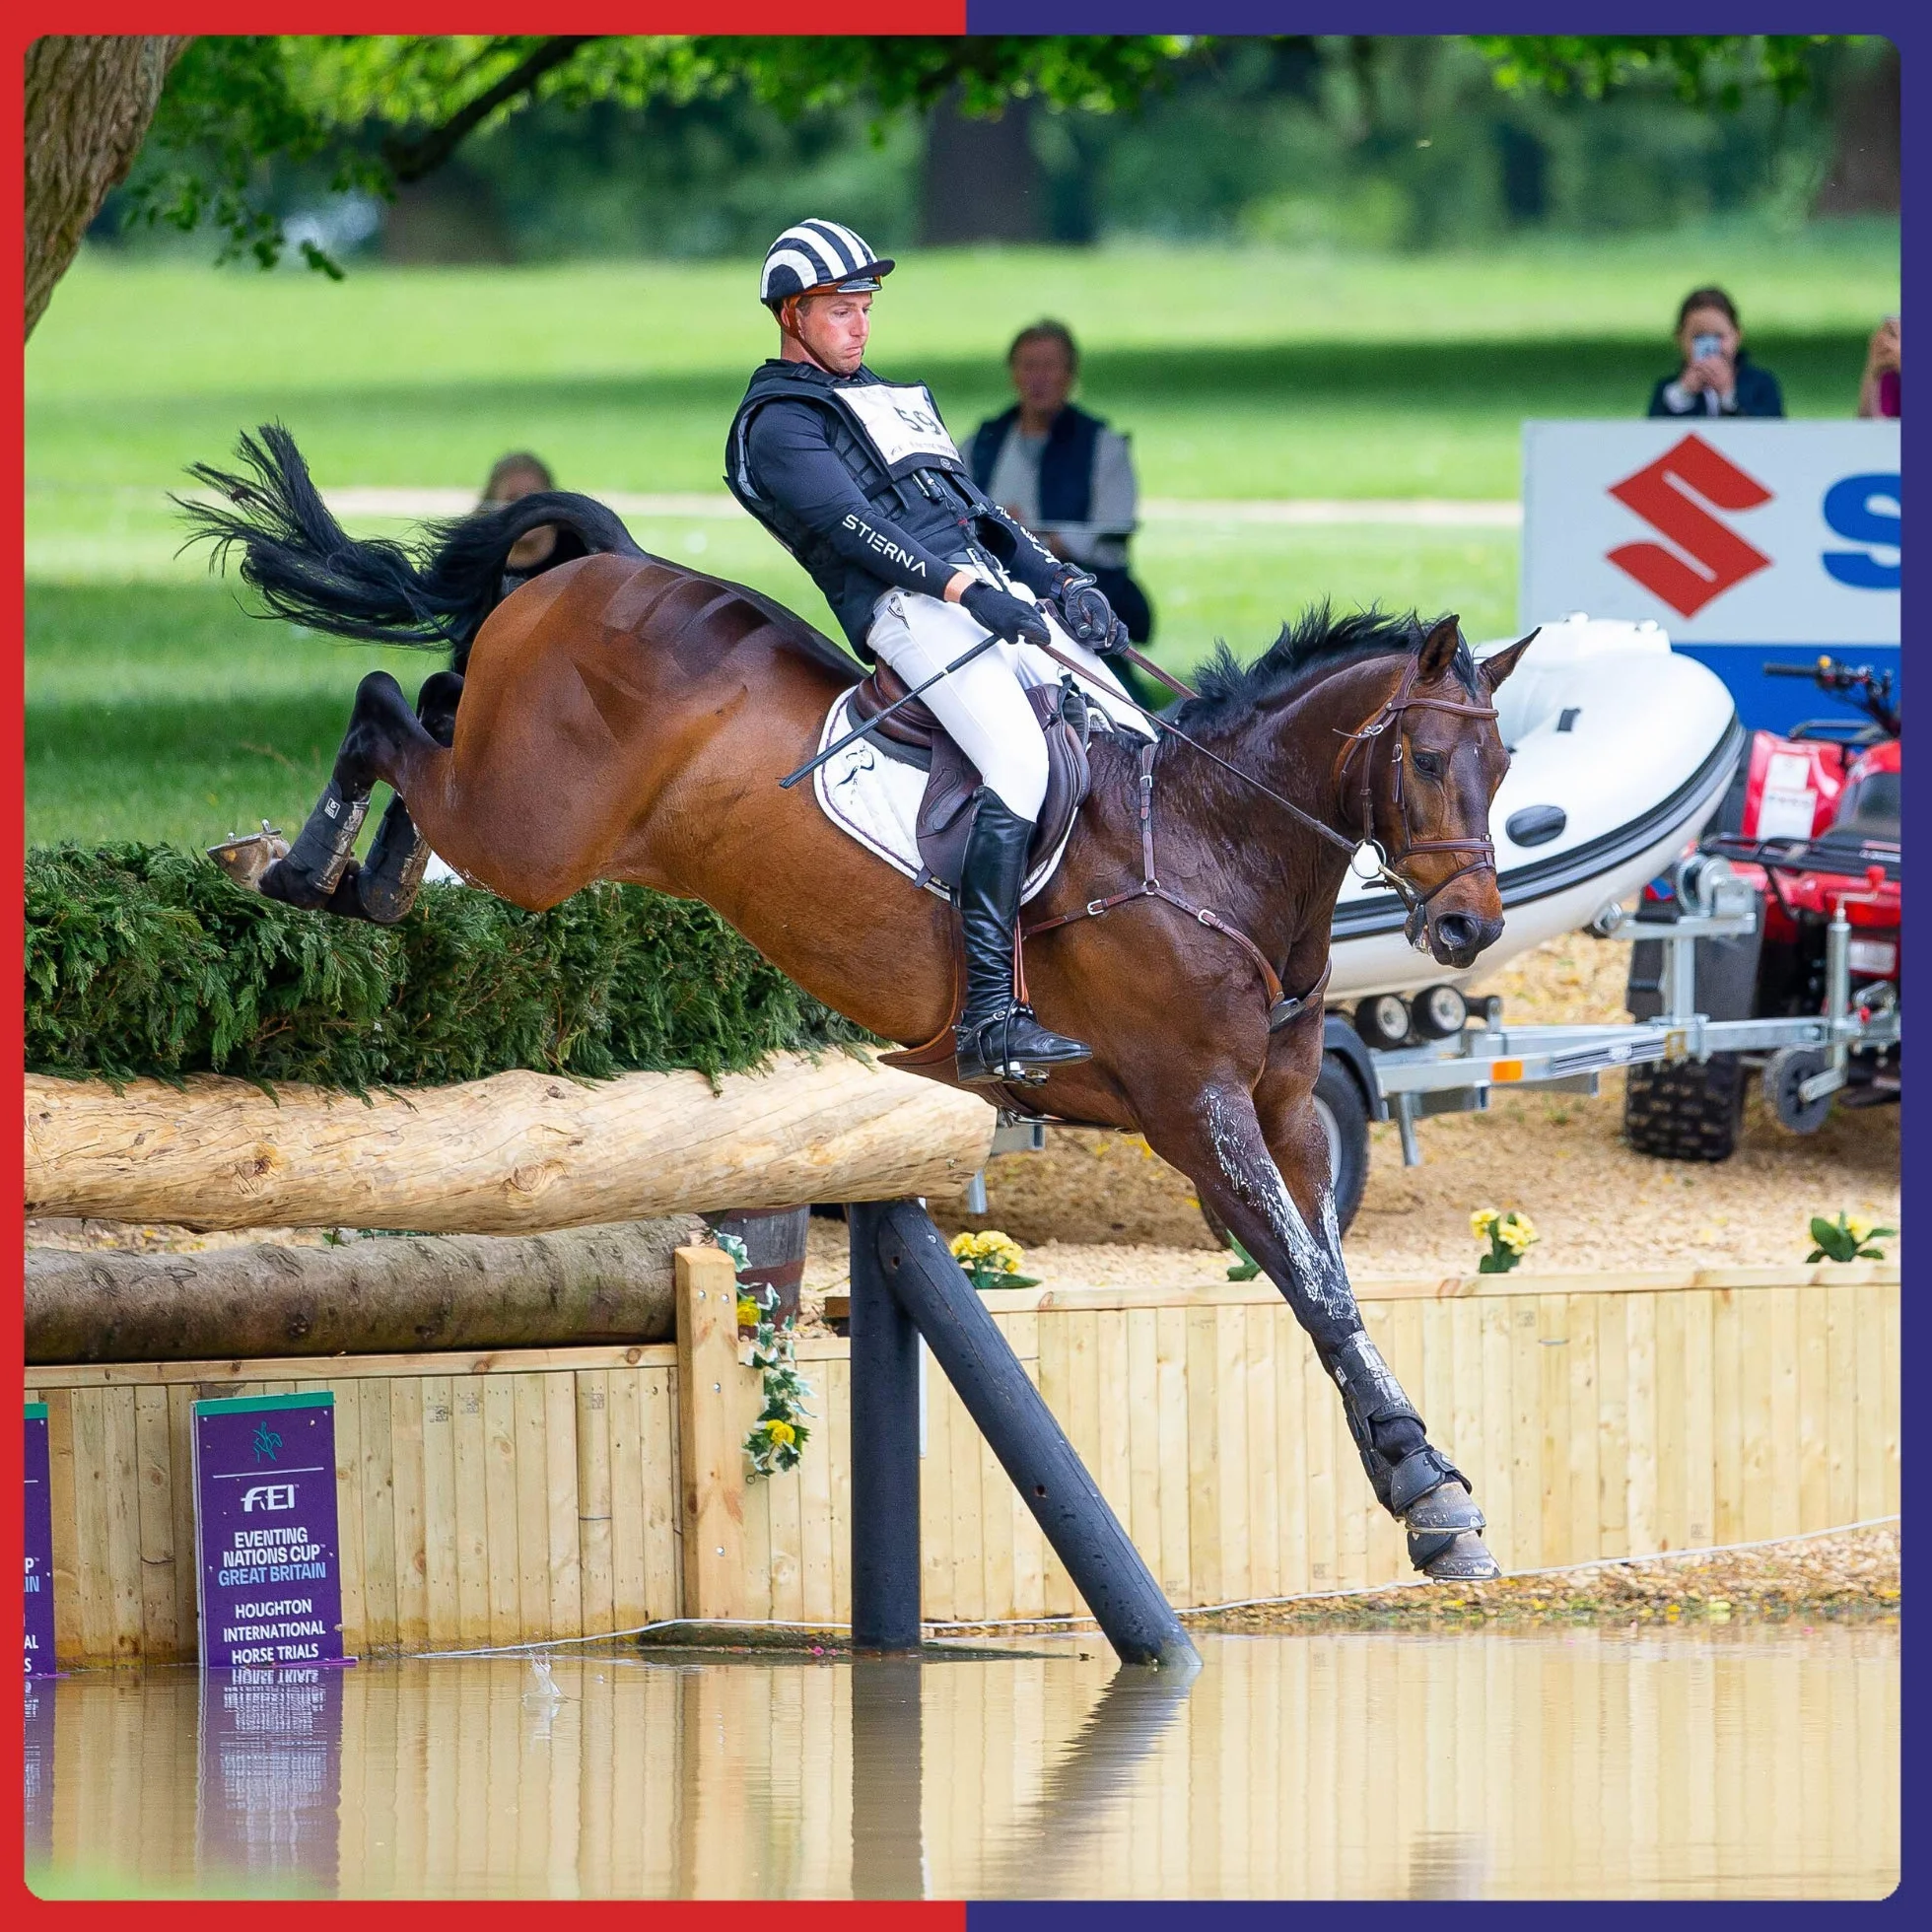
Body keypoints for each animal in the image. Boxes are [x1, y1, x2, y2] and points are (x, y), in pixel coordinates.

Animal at [185, 426, 1535, 1580]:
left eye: (1504, 761)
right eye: (1425, 760)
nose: (1466, 929)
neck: (1215, 845)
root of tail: (597, 567)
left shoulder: (1286, 1115)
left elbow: (1329, 1284)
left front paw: (1422, 1493)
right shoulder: (1193, 1109)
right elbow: (1310, 1282)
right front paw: (1426, 1488)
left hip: (514, 794)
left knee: (428, 707)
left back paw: (368, 877)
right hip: (530, 834)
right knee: (383, 703)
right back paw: (305, 866)